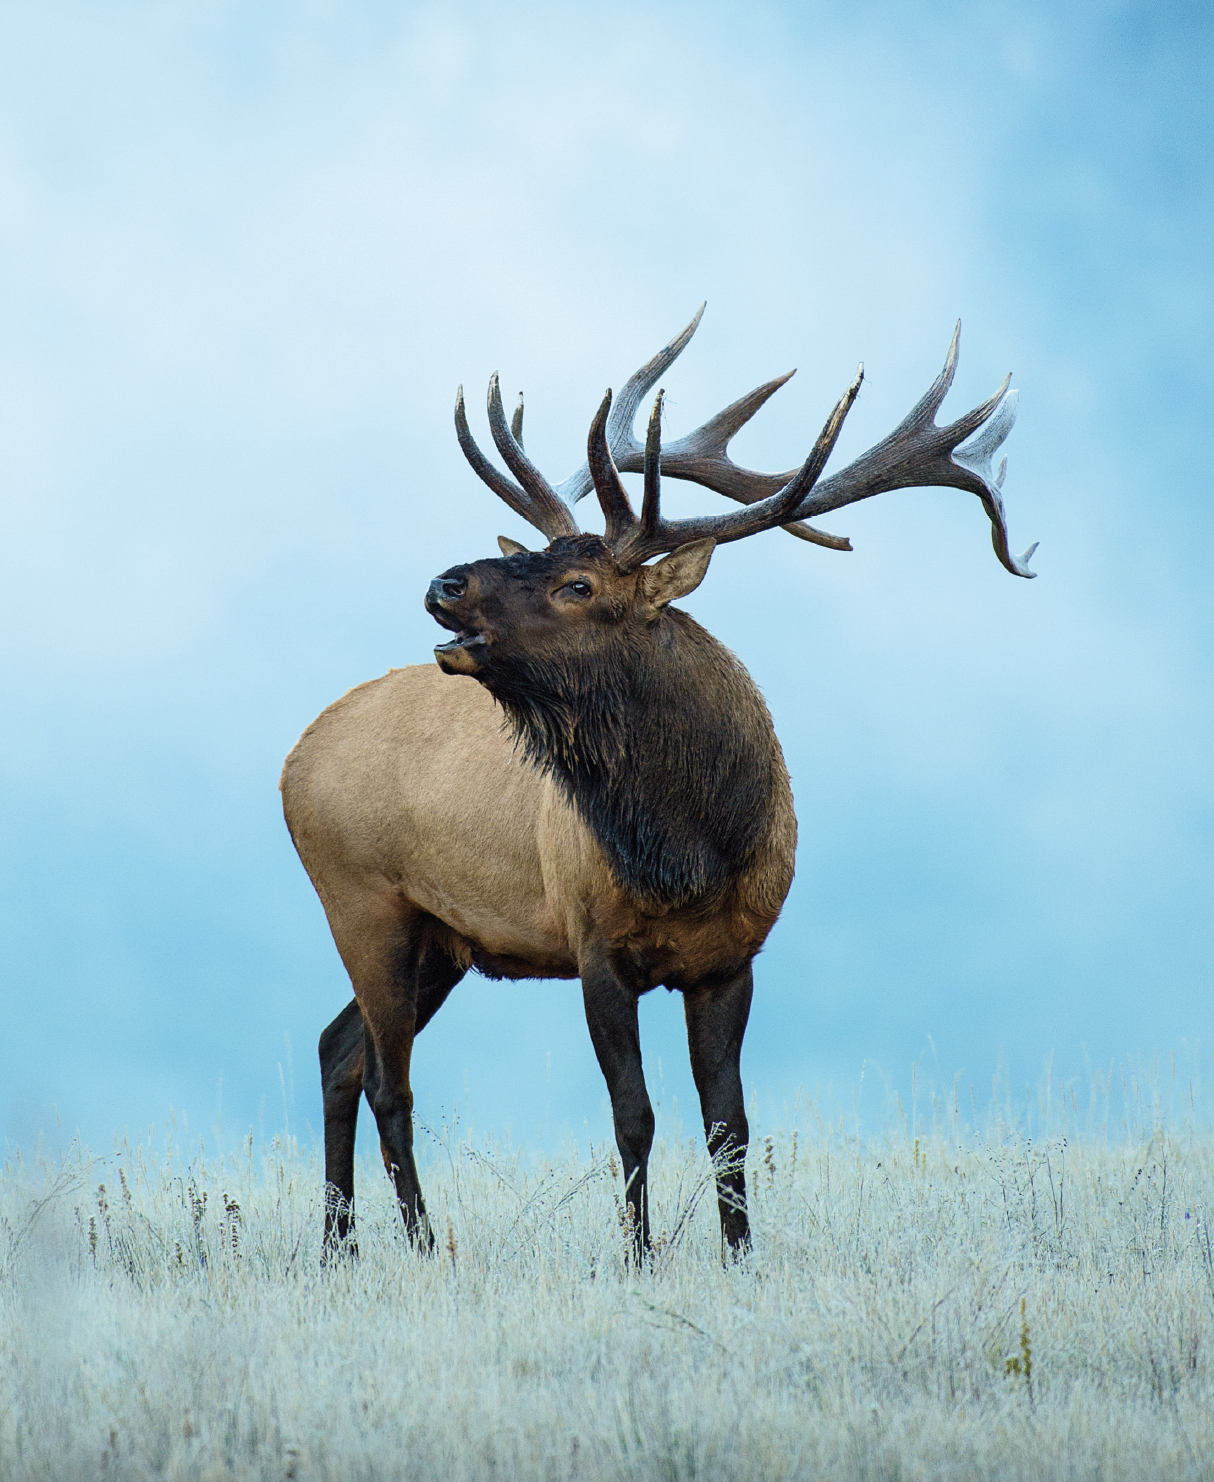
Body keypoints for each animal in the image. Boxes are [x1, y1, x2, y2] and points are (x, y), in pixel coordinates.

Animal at [284, 306, 1037, 1256]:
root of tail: (295, 756)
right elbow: (633, 1117)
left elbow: (729, 1124)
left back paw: (338, 1248)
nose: (444, 582)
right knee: (387, 1079)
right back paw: (419, 1248)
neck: (691, 851)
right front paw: (639, 1258)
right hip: (361, 899)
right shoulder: (593, 946)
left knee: (337, 1050)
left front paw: (741, 1255)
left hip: (438, 938)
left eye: (577, 582)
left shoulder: (733, 958)